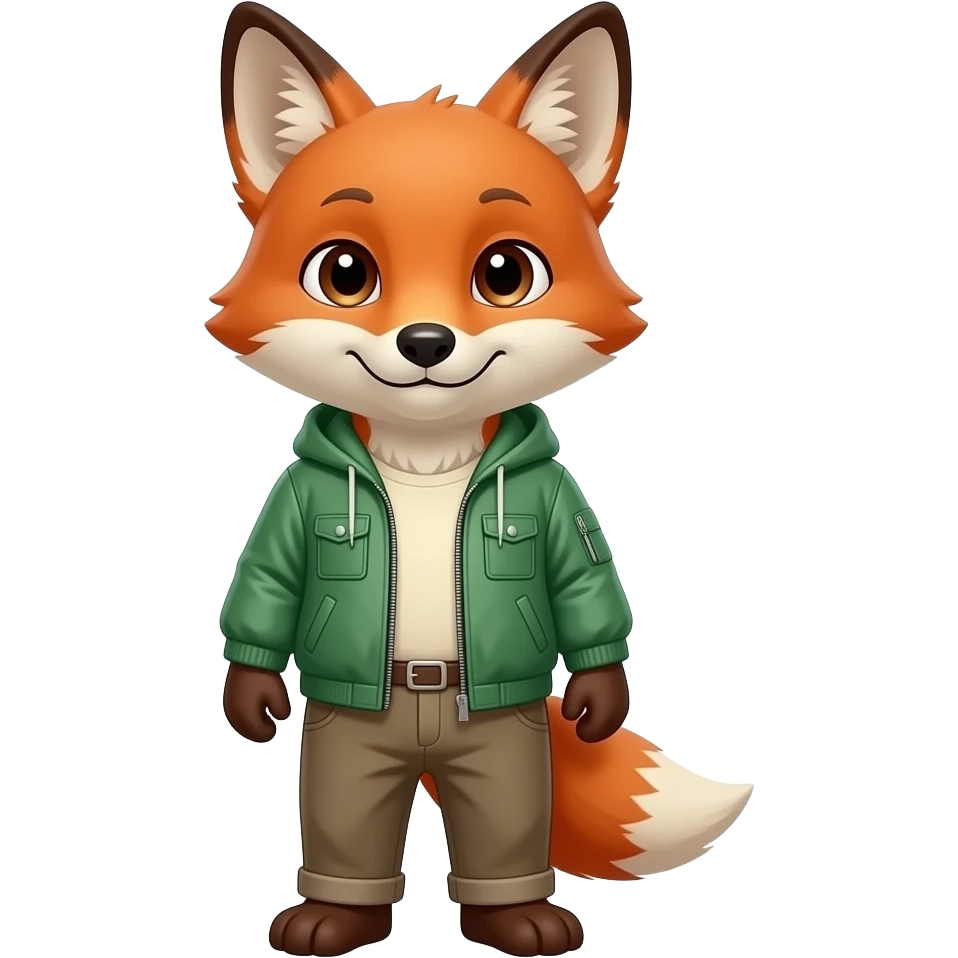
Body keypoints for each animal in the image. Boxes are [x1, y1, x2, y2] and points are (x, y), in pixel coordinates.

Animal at [209, 3, 752, 956]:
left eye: (506, 273)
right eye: (345, 273)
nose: (426, 343)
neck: (428, 459)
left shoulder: (558, 508)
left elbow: (583, 592)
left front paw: (601, 698)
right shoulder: (293, 508)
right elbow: (267, 589)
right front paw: (250, 695)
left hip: (503, 747)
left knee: (504, 822)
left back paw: (518, 916)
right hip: (351, 748)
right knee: (348, 819)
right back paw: (333, 916)